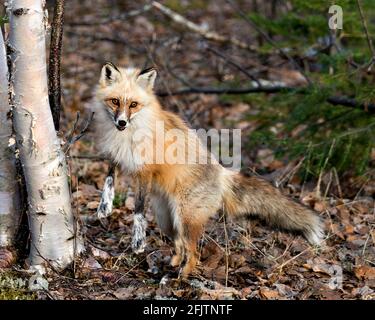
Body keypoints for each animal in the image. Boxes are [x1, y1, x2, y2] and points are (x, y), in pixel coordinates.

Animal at [92, 62, 324, 278]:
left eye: (133, 104)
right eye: (115, 101)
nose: (121, 122)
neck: (127, 135)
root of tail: (222, 174)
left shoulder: (146, 169)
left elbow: (139, 209)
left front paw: (138, 240)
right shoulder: (116, 154)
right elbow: (109, 177)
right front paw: (105, 206)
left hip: (185, 219)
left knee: (194, 254)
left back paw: (180, 279)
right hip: (167, 220)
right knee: (180, 246)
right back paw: (173, 265)